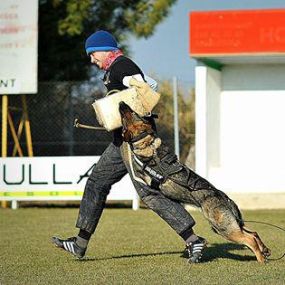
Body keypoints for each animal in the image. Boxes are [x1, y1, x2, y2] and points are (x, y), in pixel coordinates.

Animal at [118, 101, 270, 262]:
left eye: (131, 112)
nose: (121, 102)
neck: (148, 142)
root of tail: (225, 198)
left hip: (224, 228)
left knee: (250, 239)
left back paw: (261, 259)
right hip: (229, 226)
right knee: (253, 233)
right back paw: (265, 251)